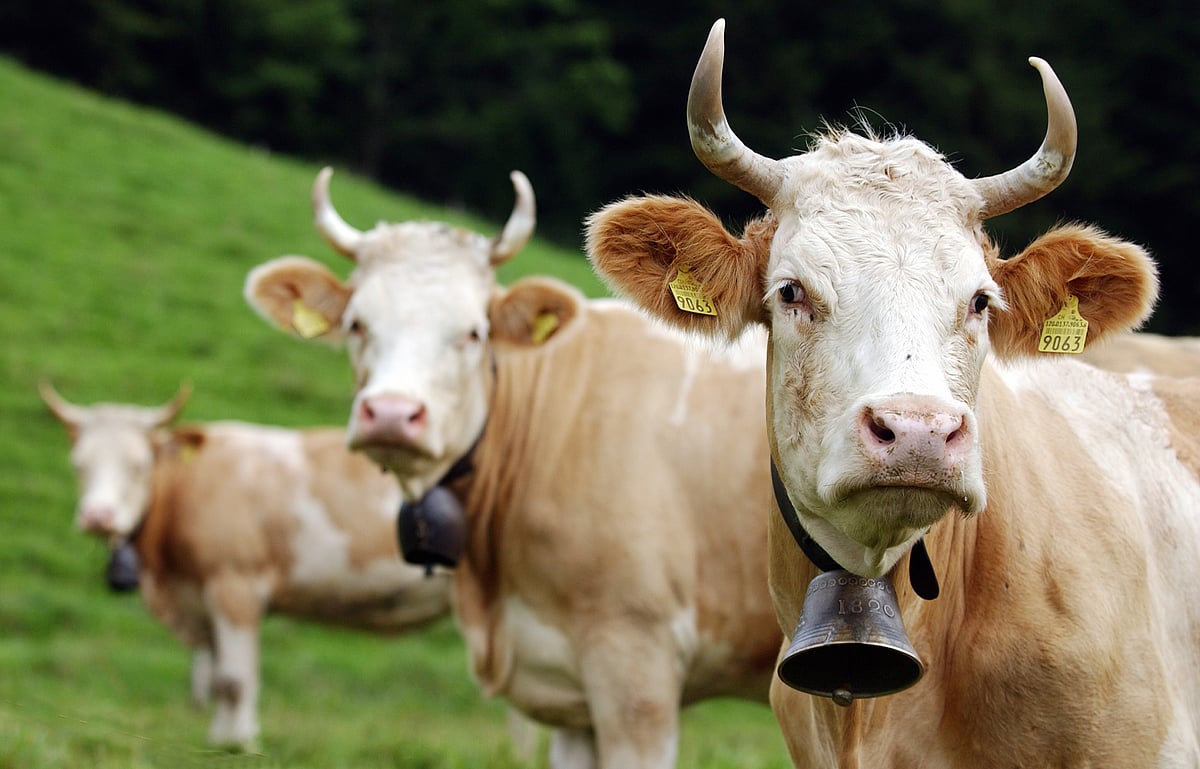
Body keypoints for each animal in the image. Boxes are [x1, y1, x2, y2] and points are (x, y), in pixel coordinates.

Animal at [39, 382, 452, 751]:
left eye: (139, 465)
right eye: (79, 465)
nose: (98, 517)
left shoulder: (235, 587)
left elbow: (236, 679)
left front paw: (240, 744)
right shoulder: (201, 599)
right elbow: (218, 678)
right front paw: (219, 739)